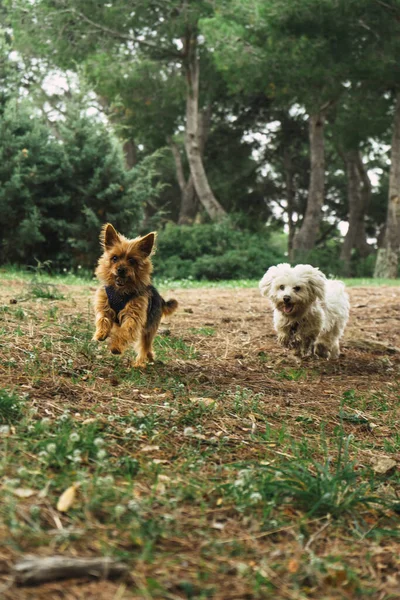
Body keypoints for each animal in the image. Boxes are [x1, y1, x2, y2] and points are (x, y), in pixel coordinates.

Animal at [93, 224, 177, 366]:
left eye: (132, 260)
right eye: (114, 258)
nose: (121, 269)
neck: (121, 292)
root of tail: (160, 298)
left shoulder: (133, 316)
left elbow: (126, 331)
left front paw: (116, 347)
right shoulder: (104, 305)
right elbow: (103, 318)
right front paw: (101, 333)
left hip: (148, 329)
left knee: (145, 345)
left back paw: (139, 363)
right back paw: (149, 357)